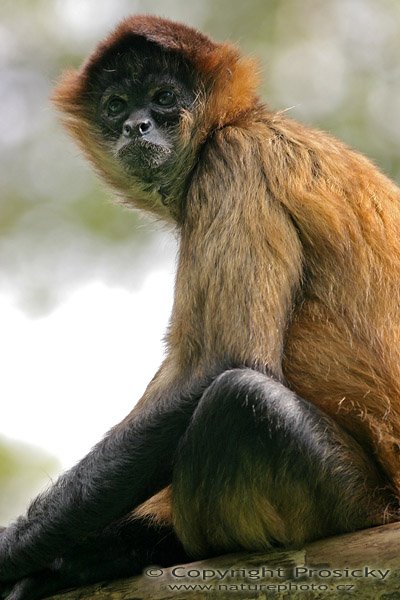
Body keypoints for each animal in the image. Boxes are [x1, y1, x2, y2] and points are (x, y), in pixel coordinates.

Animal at [0, 14, 400, 600]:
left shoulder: (234, 157)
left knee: (240, 400)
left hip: (358, 502)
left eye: (164, 97)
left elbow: (222, 364)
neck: (246, 121)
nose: (137, 126)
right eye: (116, 105)